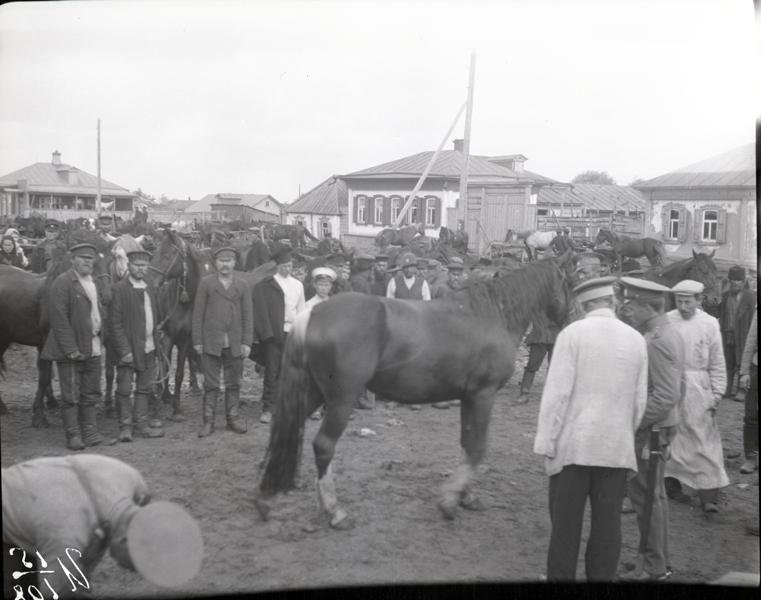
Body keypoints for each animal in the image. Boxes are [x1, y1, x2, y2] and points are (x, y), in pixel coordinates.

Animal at [258, 251, 572, 528]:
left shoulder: (469, 397)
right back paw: (335, 511)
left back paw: (268, 497)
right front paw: (449, 502)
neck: (491, 315)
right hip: (341, 399)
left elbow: (467, 443)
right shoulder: (483, 395)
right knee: (324, 446)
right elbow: (477, 447)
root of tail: (312, 314)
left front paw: (466, 496)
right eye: (569, 279)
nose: (568, 318)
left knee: (287, 431)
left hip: (313, 393)